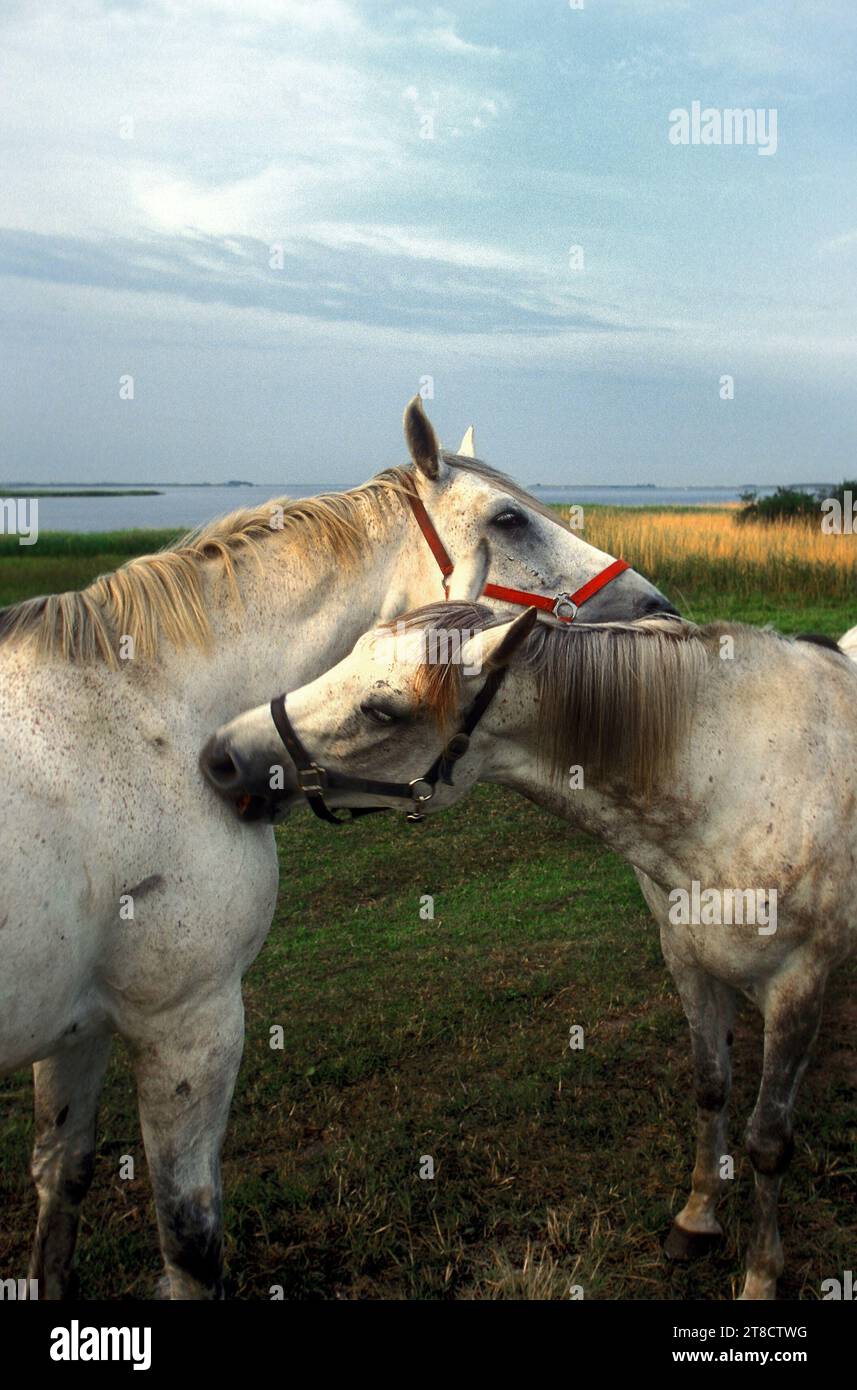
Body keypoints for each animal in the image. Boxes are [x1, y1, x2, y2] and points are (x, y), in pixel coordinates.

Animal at [0, 397, 675, 1295]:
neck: (151, 713)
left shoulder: (83, 1027)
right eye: (509, 519)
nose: (658, 610)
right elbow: (191, 1241)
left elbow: (61, 1176)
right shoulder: (187, 1019)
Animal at [205, 603, 855, 1295]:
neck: (732, 787)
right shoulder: (689, 964)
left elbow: (768, 1141)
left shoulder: (796, 986)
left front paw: (761, 1271)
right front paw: (698, 1218)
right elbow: (711, 1089)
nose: (220, 757)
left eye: (383, 711)